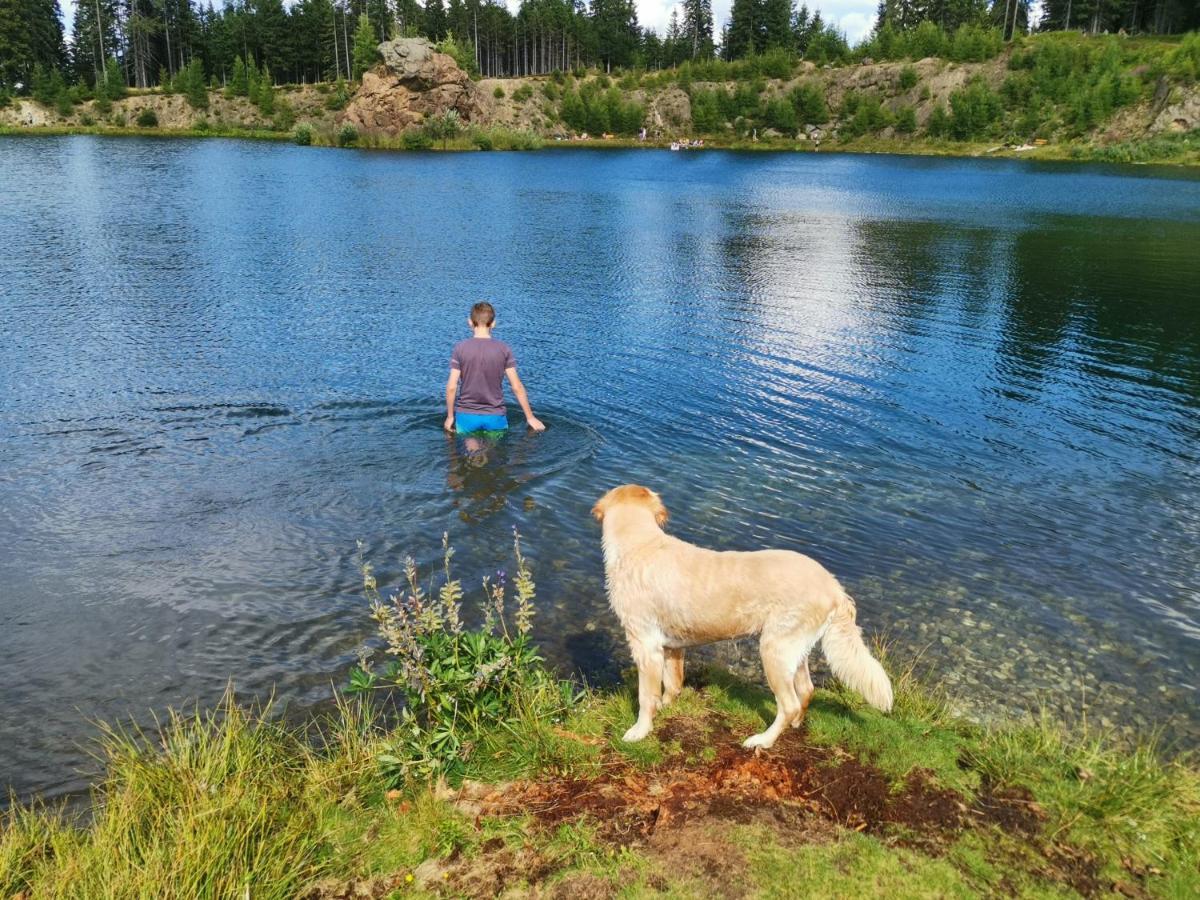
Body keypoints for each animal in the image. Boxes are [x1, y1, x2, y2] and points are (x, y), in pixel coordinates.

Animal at [590, 487, 892, 748]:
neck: (641, 544)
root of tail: (834, 587)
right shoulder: (671, 647)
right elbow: (672, 684)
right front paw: (665, 707)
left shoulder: (645, 645)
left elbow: (645, 697)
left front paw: (639, 731)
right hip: (794, 649)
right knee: (806, 690)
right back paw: (796, 724)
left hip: (773, 649)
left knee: (789, 704)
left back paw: (763, 741)